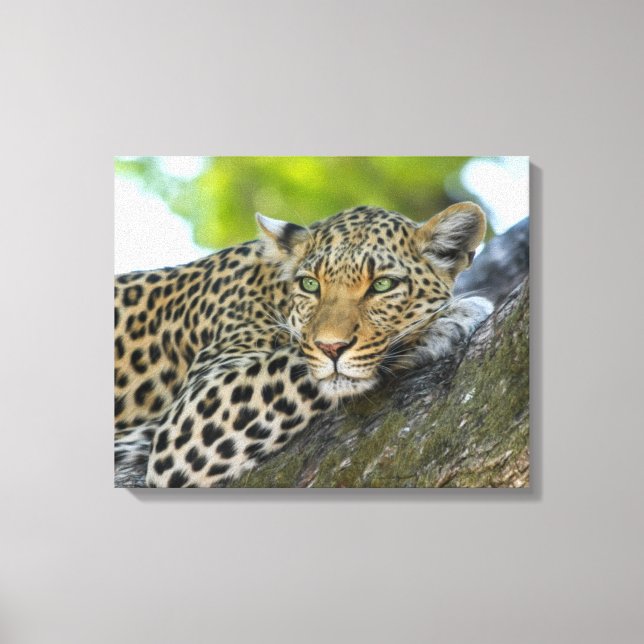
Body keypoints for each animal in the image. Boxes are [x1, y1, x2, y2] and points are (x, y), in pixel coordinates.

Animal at [114, 202, 493, 487]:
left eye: (383, 285)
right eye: (311, 285)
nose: (332, 348)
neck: (272, 291)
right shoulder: (189, 420)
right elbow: (297, 362)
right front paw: (447, 320)